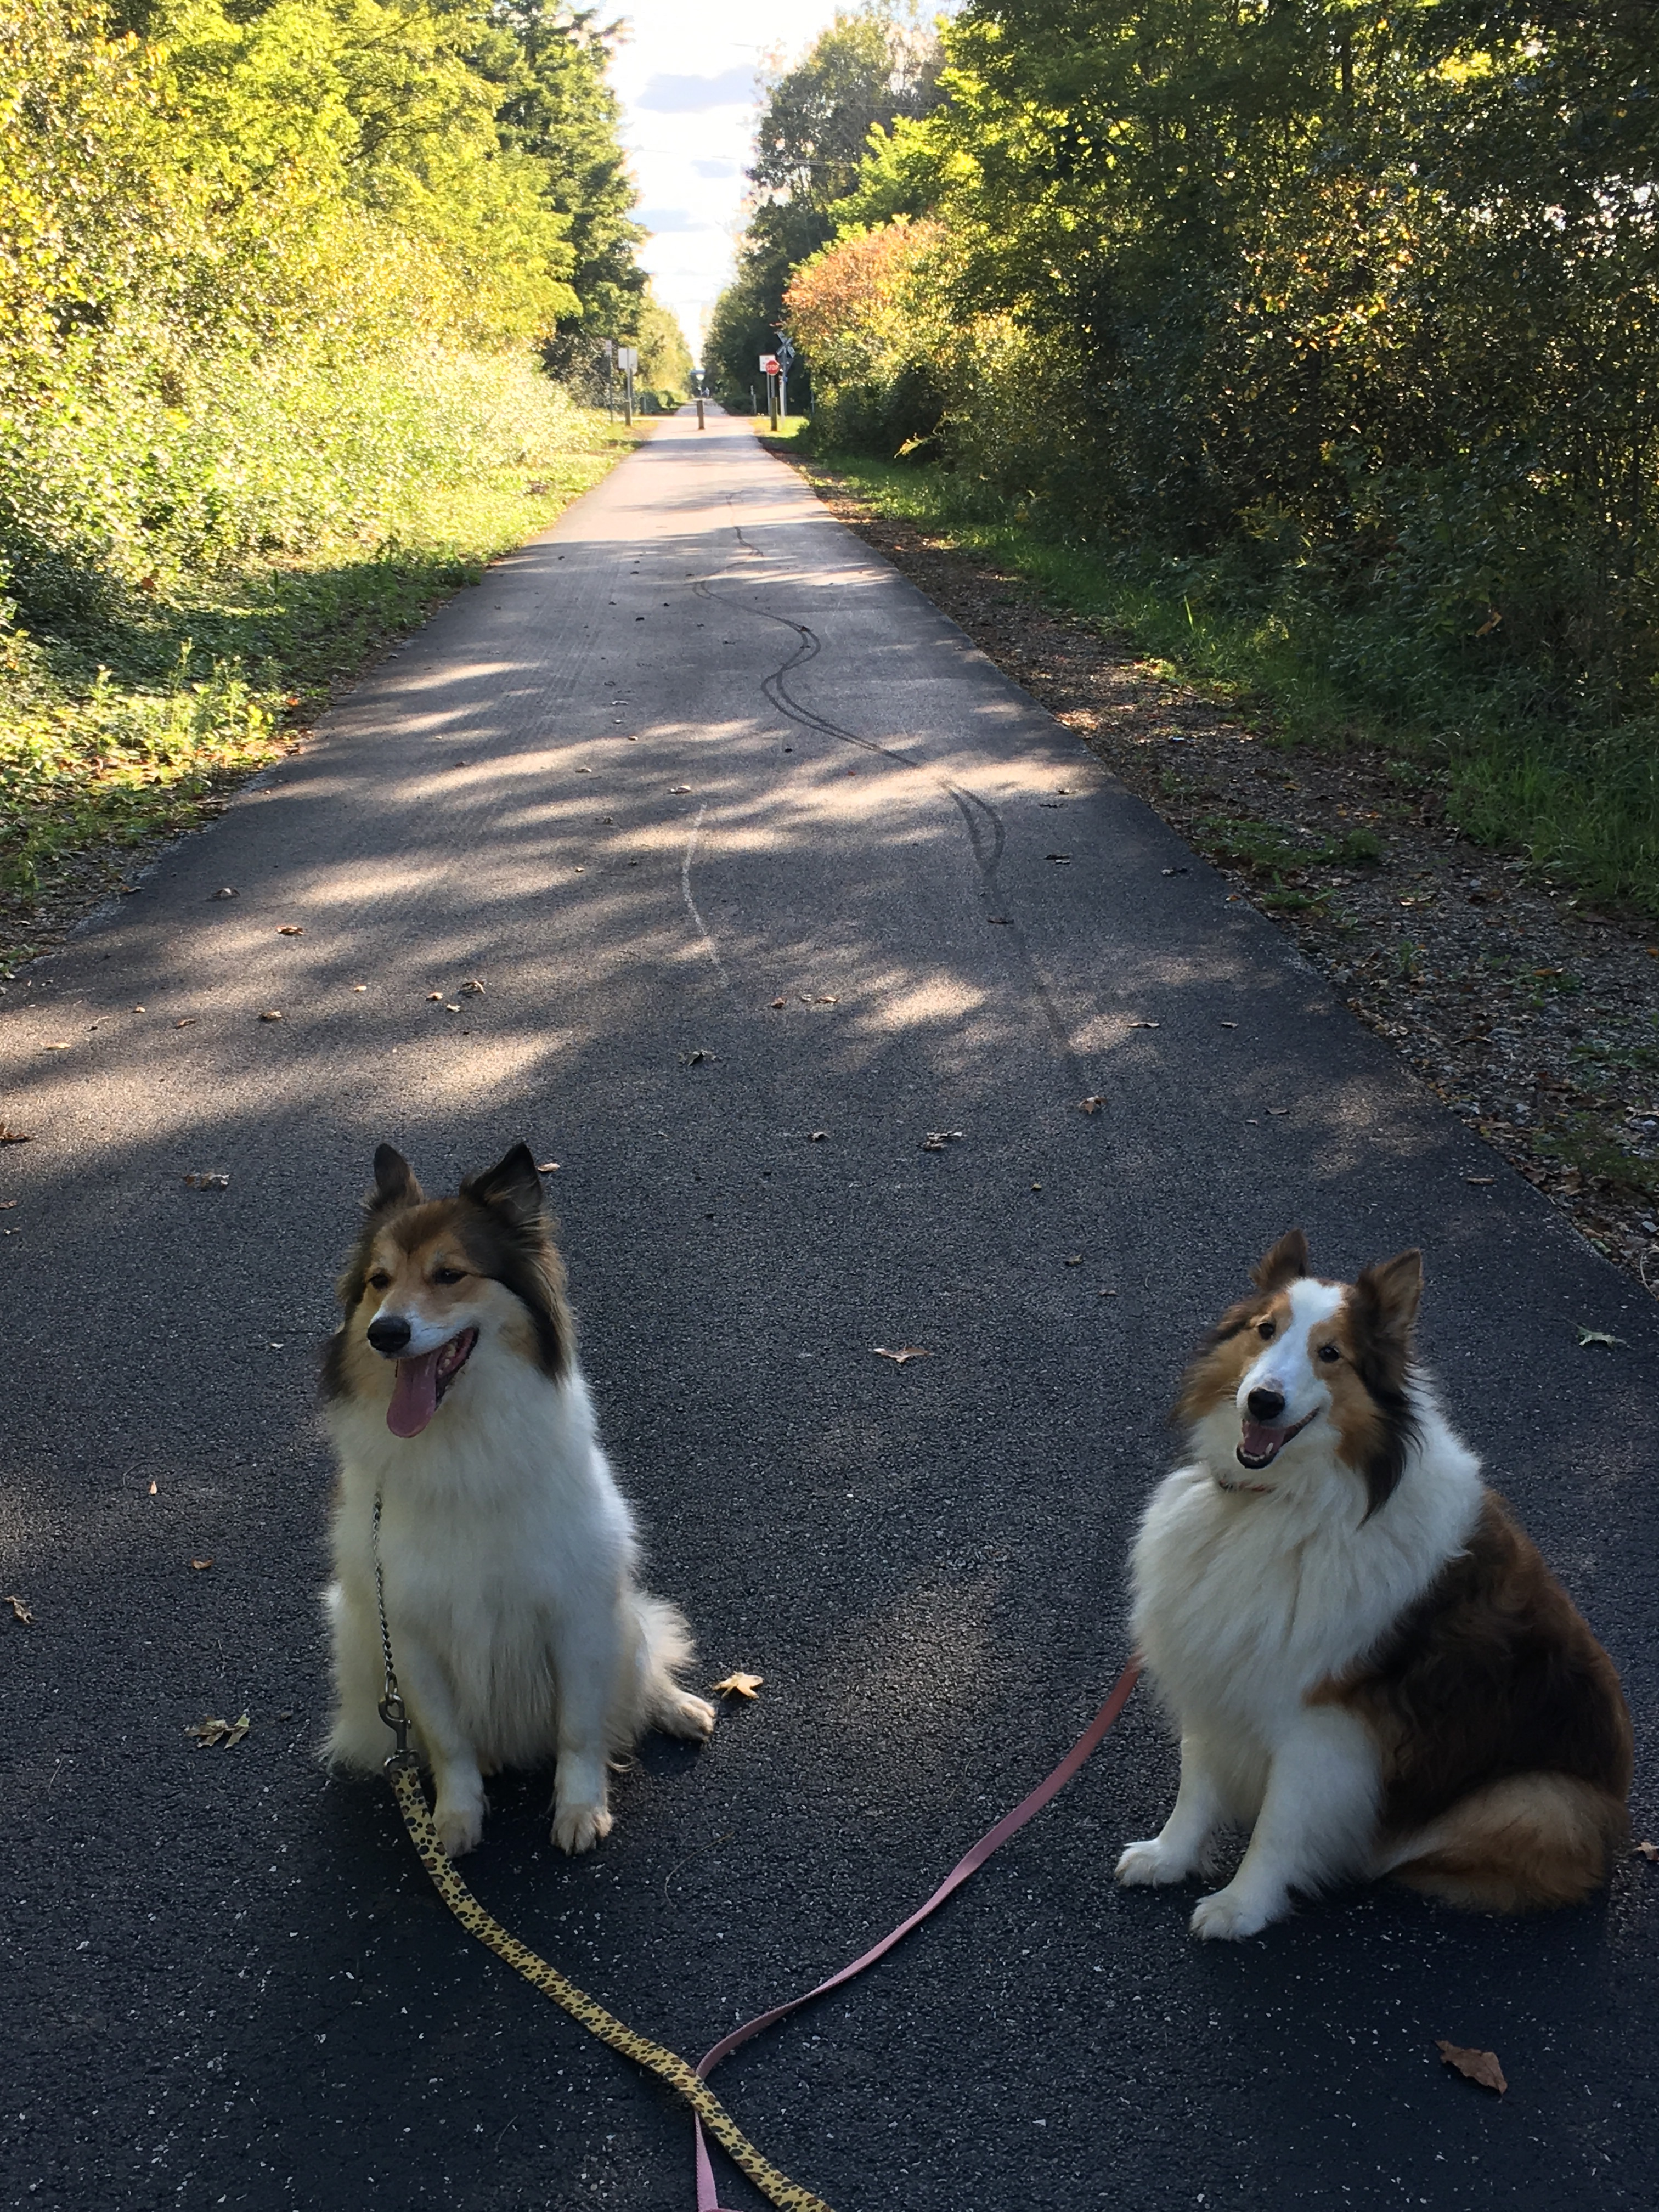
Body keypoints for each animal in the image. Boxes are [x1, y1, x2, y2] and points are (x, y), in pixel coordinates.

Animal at [321, 1142, 715, 1856]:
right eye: (379, 1281)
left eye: (449, 1274)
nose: (385, 1334)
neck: (459, 1444)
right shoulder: (411, 1637)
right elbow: (448, 1742)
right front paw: (452, 1821)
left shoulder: (577, 1611)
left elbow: (581, 1729)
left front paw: (581, 1810)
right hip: (356, 1633)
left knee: (643, 1657)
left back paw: (677, 1707)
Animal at [1116, 1229, 1632, 1939]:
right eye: (1265, 1330)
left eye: (1331, 1354)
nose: (1263, 1401)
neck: (1284, 1501)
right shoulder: (1216, 1666)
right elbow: (1197, 1780)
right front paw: (1168, 1857)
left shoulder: (1323, 1723)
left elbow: (1281, 1822)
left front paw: (1243, 1905)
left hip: (1536, 1799)